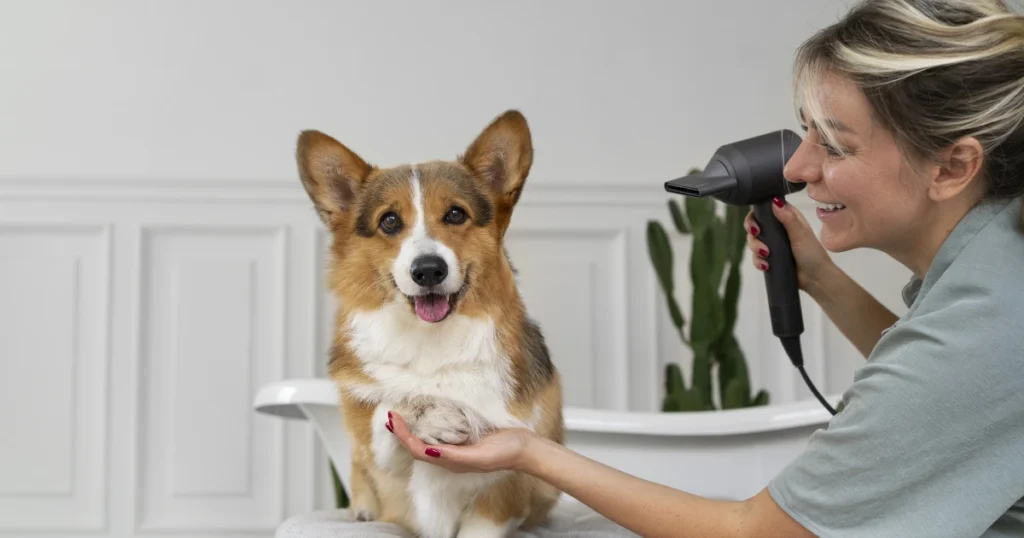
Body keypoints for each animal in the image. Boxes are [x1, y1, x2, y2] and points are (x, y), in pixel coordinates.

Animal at [296, 110, 565, 536]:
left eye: (456, 214)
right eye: (389, 221)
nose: (428, 271)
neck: (431, 340)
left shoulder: (503, 492)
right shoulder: (384, 461)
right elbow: (389, 407)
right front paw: (430, 413)